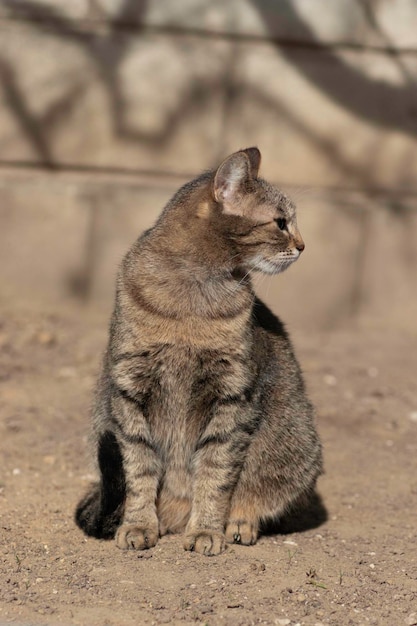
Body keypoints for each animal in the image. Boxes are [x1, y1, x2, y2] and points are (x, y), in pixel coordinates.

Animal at [75, 147, 322, 556]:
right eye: (281, 222)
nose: (303, 246)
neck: (192, 297)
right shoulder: (129, 390)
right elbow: (138, 468)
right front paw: (139, 524)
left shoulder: (233, 396)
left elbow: (214, 471)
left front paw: (206, 529)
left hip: (297, 446)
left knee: (256, 496)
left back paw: (238, 523)